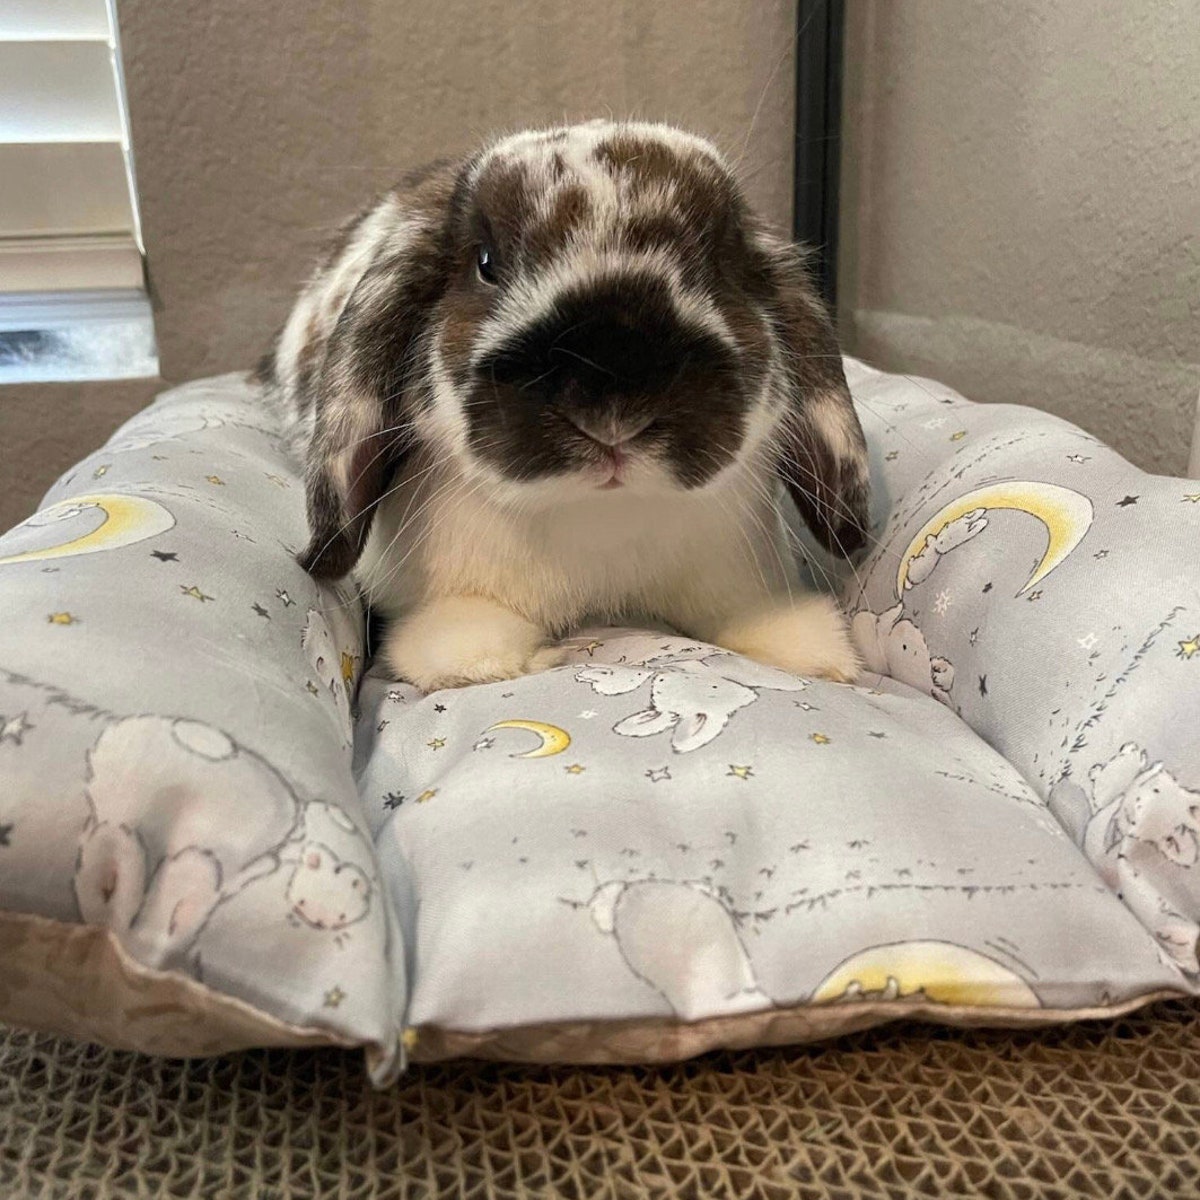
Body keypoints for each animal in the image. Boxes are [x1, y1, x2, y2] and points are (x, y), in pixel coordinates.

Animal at [259, 120, 870, 692]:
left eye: (719, 262)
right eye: (486, 263)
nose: (612, 410)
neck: (601, 520)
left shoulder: (730, 576)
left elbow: (744, 613)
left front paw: (812, 651)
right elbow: (462, 640)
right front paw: (495, 663)